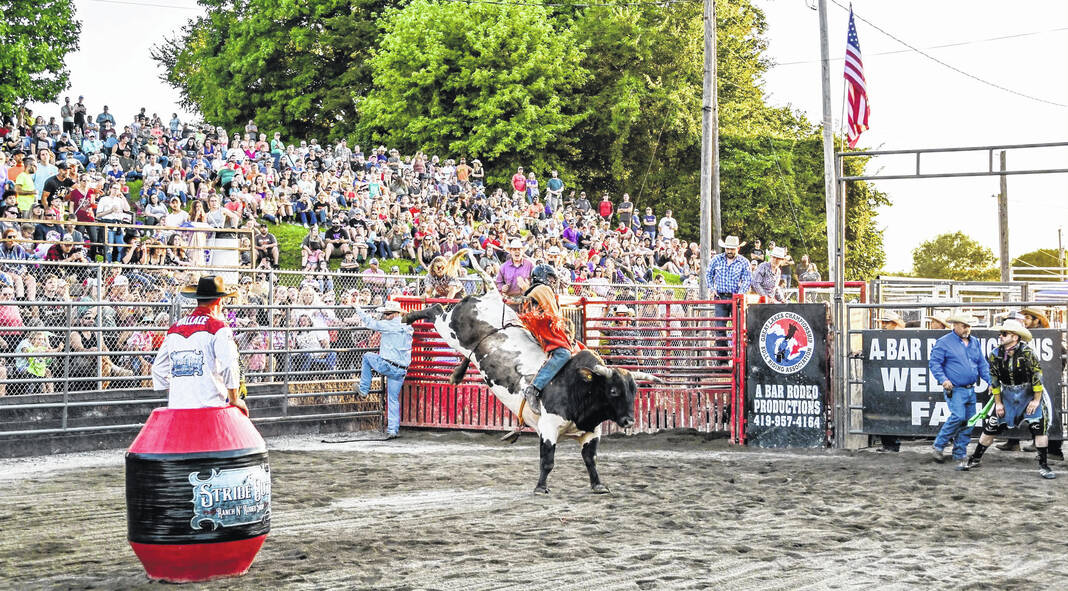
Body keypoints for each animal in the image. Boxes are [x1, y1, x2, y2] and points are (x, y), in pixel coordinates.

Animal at [410, 290, 657, 493]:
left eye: (634, 391)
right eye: (613, 391)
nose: (628, 421)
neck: (578, 386)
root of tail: (486, 298)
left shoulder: (591, 431)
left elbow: (590, 459)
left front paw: (598, 485)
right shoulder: (548, 427)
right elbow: (547, 460)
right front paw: (540, 487)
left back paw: (455, 373)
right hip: (450, 329)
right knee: (436, 310)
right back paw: (406, 317)